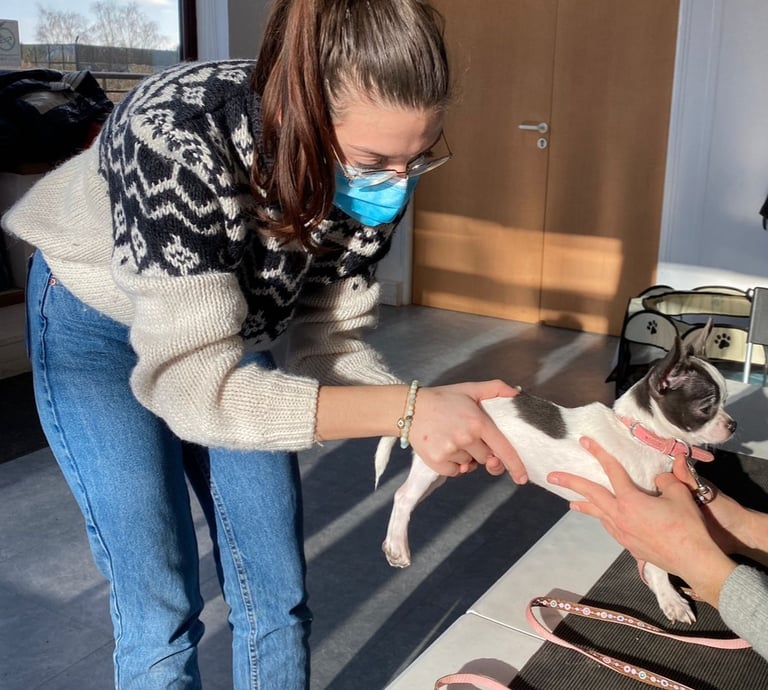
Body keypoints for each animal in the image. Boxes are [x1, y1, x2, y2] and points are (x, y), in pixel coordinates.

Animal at [374, 320, 736, 624]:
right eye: (706, 407)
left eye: (726, 400)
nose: (733, 425)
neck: (640, 434)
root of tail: (436, 397)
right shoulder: (643, 512)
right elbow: (661, 566)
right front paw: (671, 598)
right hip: (434, 464)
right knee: (404, 496)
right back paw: (397, 546)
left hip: (446, 465)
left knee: (407, 494)